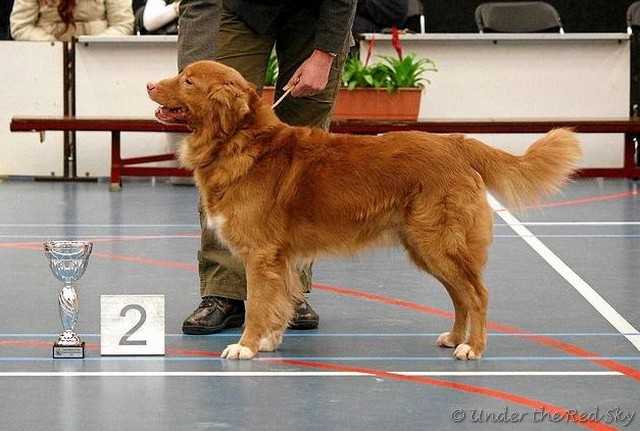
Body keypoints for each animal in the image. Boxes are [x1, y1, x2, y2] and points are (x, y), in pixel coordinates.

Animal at [148, 60, 584, 362]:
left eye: (187, 80)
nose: (149, 84)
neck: (239, 141)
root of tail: (456, 144)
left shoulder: (261, 255)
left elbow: (258, 303)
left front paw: (246, 346)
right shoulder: (281, 258)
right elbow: (280, 301)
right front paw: (270, 340)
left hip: (440, 244)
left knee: (477, 293)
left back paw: (472, 348)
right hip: (426, 249)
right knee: (461, 295)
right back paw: (454, 338)